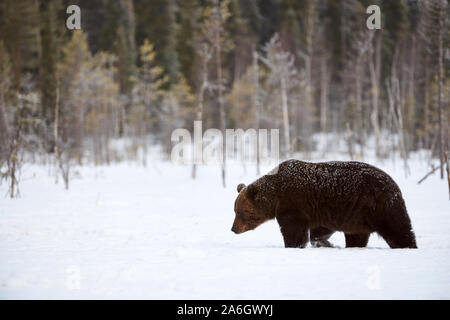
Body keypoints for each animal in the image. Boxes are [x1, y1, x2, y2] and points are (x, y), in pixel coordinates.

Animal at [232, 161, 418, 249]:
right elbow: (319, 231)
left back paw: (408, 246)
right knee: (357, 235)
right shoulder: (321, 211)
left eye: (239, 212)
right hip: (358, 216)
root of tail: (394, 184)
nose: (233, 228)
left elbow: (294, 231)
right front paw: (324, 242)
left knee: (398, 229)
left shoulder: (293, 204)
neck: (275, 196)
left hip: (380, 206)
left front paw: (294, 245)